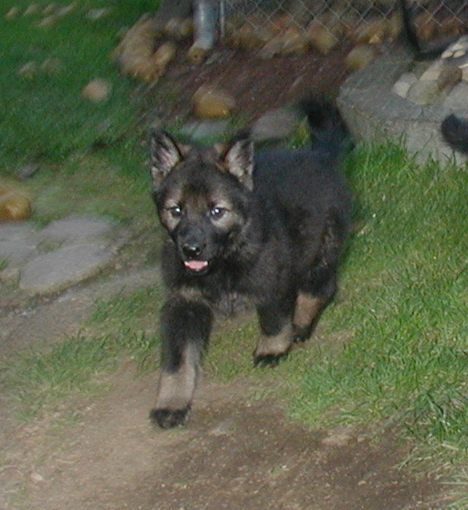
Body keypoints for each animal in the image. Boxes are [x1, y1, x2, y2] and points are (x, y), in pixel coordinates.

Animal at [149, 97, 352, 428]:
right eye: (176, 210)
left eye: (216, 212)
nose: (191, 250)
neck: (226, 259)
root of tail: (317, 155)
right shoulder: (184, 303)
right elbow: (177, 362)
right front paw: (172, 403)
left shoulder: (272, 283)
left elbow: (273, 322)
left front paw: (272, 349)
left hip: (321, 244)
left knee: (320, 286)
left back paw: (301, 322)